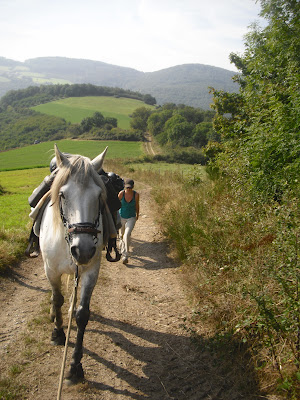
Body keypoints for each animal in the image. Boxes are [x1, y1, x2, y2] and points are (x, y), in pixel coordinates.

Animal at [39, 145, 108, 384]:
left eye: (99, 195)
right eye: (62, 195)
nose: (83, 250)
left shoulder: (90, 272)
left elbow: (82, 314)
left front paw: (75, 366)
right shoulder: (51, 270)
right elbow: (57, 298)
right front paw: (58, 333)